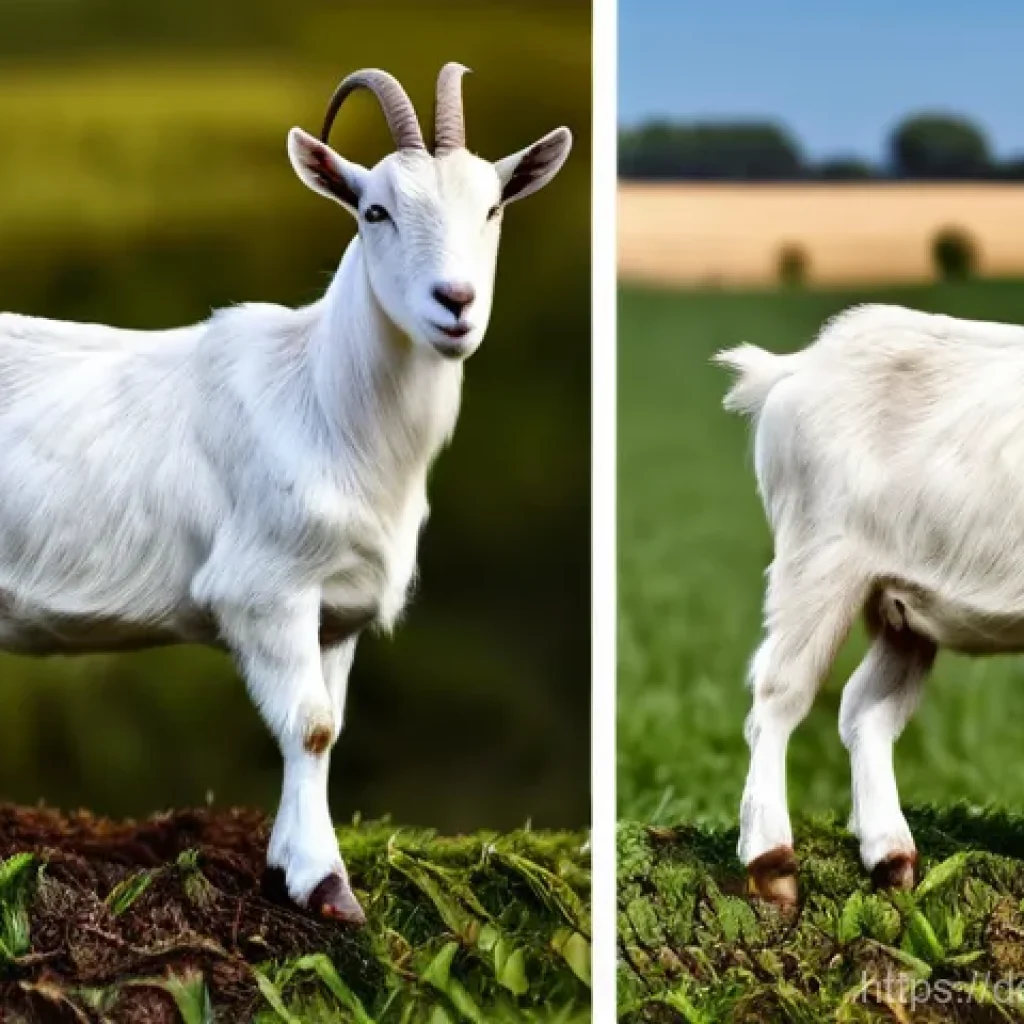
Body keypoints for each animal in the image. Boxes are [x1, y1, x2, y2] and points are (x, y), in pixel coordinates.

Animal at [0, 64, 572, 921]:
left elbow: (329, 731)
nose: (456, 302)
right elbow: (309, 726)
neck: (321, 399)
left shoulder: (337, 610)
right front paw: (325, 884)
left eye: (494, 207)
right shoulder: (264, 588)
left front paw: (288, 868)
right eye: (375, 210)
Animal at [717, 302, 1024, 906]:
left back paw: (890, 856)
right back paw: (771, 859)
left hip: (903, 604)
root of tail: (799, 365)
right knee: (778, 693)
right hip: (816, 560)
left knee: (867, 707)